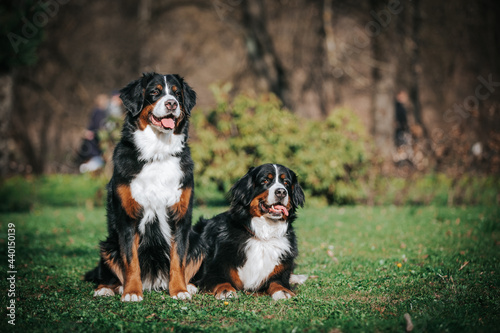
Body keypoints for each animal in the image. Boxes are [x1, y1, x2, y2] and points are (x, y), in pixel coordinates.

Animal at [85, 72, 202, 300]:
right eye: (155, 92)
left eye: (177, 94)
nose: (172, 103)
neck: (157, 153)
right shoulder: (128, 217)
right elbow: (131, 261)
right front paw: (131, 292)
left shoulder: (180, 217)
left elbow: (178, 259)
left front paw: (180, 290)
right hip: (108, 245)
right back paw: (107, 288)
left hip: (198, 242)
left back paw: (190, 286)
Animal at [190, 163, 304, 298]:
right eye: (265, 181)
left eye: (286, 182)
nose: (281, 192)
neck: (264, 235)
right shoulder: (213, 270)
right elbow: (220, 280)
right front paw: (225, 290)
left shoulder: (279, 271)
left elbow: (278, 281)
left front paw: (283, 291)